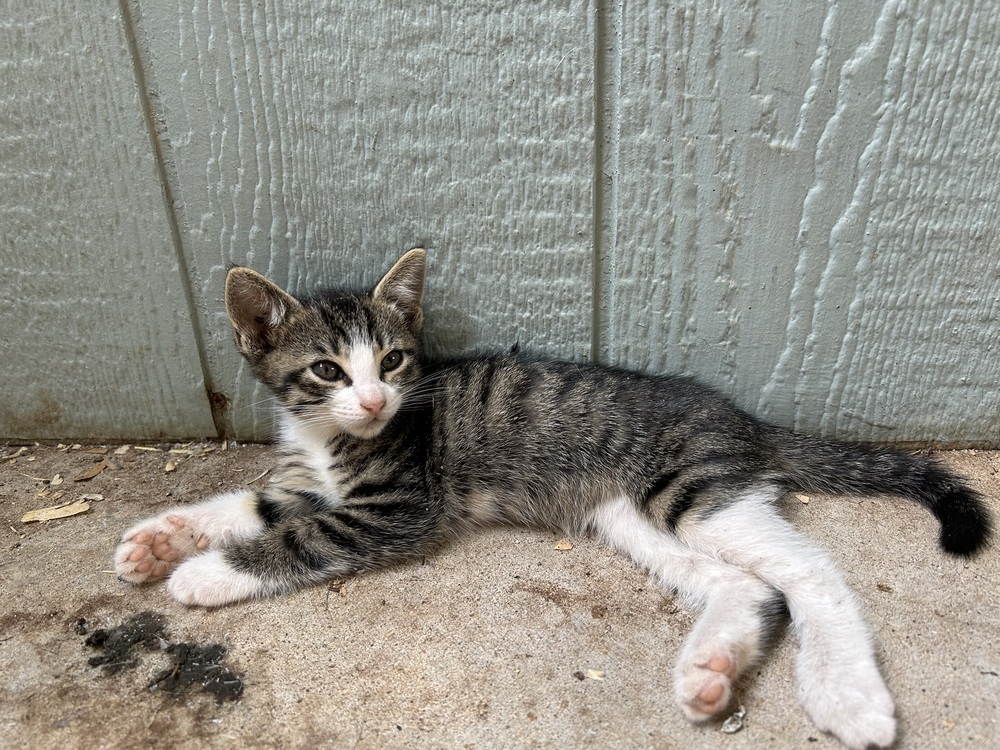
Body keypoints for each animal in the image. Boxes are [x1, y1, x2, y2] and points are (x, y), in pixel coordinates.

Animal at [115, 251, 992, 750]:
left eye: (393, 361)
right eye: (327, 370)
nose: (372, 401)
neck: (334, 440)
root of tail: (742, 420)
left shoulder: (397, 505)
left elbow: (298, 538)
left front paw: (204, 574)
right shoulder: (305, 483)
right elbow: (251, 506)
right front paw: (160, 539)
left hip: (691, 487)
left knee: (809, 570)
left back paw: (848, 696)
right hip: (628, 513)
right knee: (747, 583)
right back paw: (710, 669)